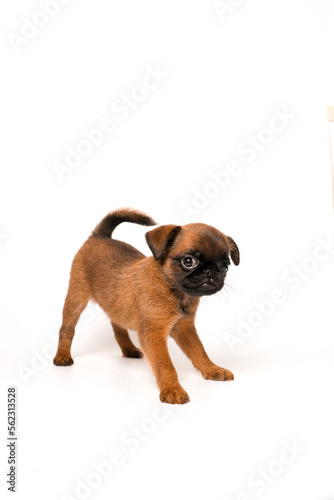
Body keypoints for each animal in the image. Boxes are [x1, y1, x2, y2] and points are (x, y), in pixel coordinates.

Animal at [53, 209, 239, 404]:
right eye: (188, 262)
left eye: (225, 266)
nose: (211, 272)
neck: (172, 289)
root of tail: (99, 236)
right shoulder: (153, 334)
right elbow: (165, 364)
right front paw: (172, 389)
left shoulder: (185, 328)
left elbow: (199, 351)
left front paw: (212, 369)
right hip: (76, 297)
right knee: (67, 329)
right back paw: (62, 356)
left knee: (116, 324)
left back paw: (128, 349)